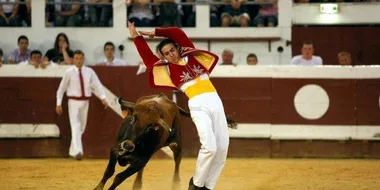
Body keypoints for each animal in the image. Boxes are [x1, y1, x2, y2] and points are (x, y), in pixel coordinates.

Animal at [93, 93, 235, 190]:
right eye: (133, 118)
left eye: (149, 127)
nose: (128, 145)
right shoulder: (116, 149)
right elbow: (109, 172)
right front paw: (97, 188)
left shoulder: (141, 160)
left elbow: (119, 177)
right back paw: (137, 185)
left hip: (176, 144)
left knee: (177, 160)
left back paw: (175, 184)